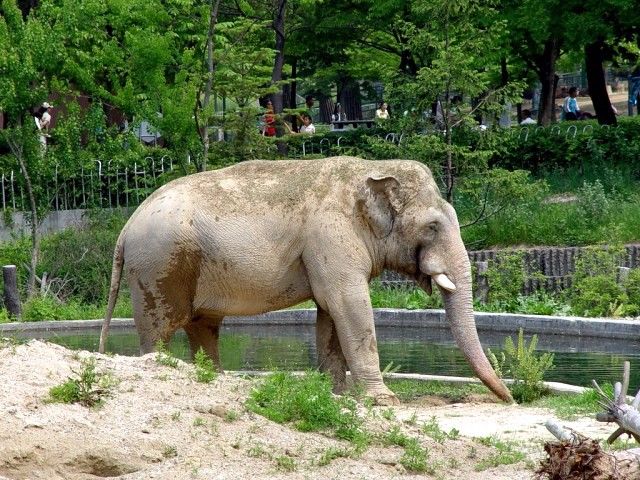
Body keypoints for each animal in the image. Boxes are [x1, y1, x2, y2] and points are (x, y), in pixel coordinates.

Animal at [99, 156, 513, 405]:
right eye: (432, 227)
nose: (509, 398)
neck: (370, 169)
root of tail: (125, 228)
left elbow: (331, 313)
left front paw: (338, 395)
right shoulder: (331, 235)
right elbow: (350, 304)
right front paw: (383, 401)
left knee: (203, 325)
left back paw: (215, 379)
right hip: (158, 267)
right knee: (162, 329)